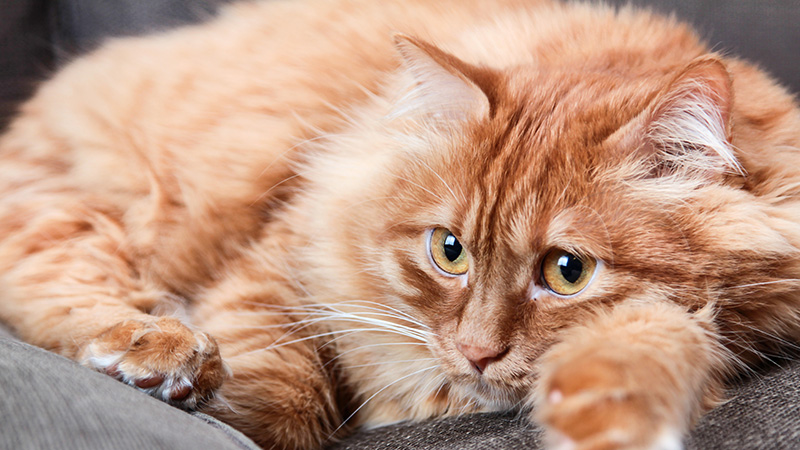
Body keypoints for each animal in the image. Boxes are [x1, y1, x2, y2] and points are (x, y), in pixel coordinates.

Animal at [1, 0, 800, 448]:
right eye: (449, 252)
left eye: (567, 272)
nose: (476, 354)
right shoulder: (285, 257)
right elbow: (281, 390)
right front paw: (230, 409)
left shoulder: (699, 325)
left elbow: (642, 353)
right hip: (82, 215)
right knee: (58, 294)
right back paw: (161, 355)